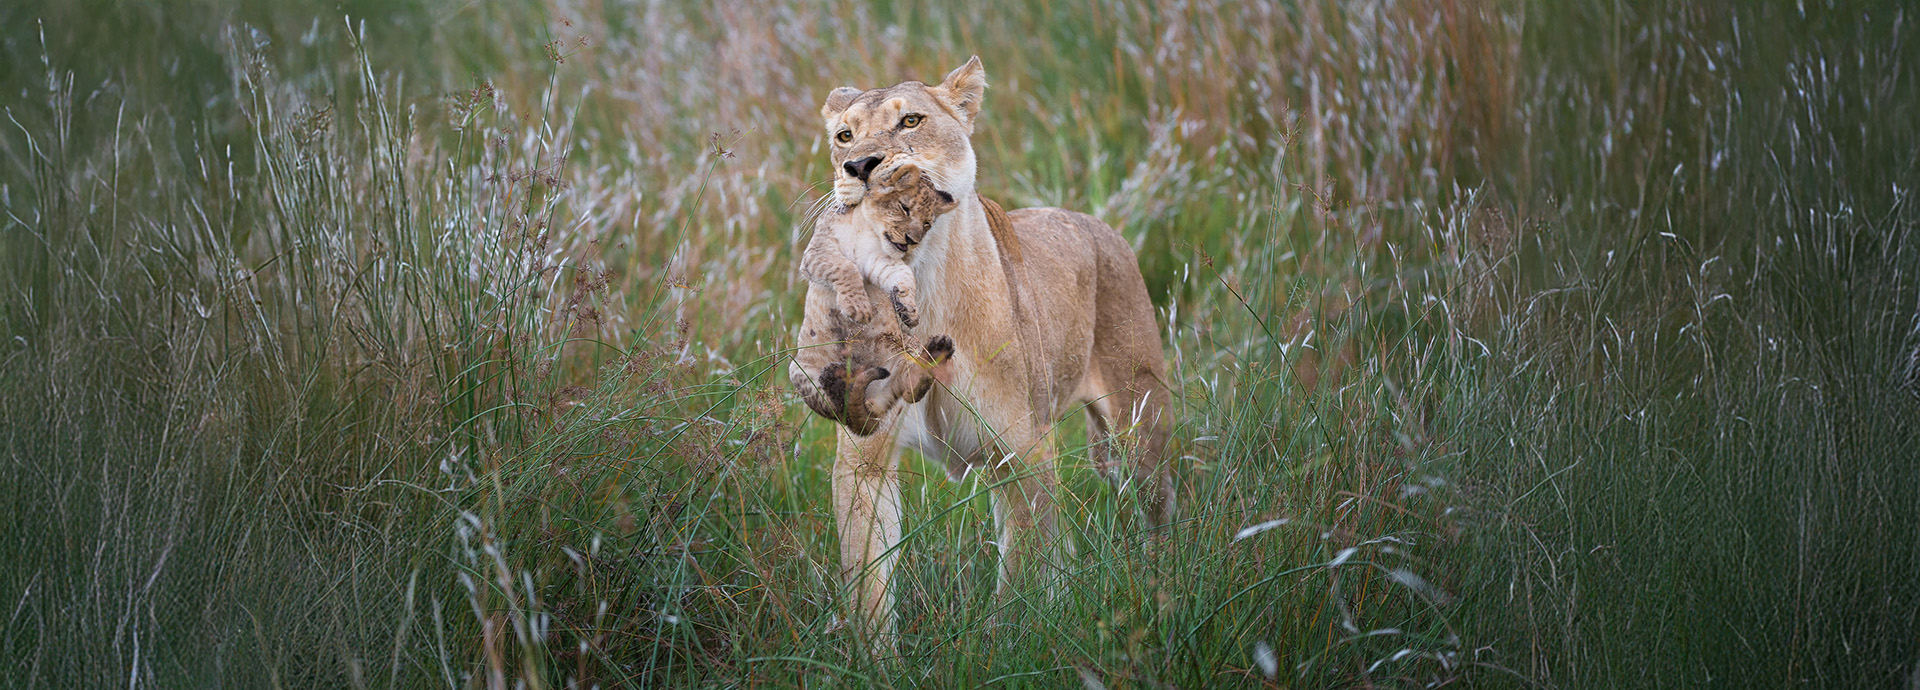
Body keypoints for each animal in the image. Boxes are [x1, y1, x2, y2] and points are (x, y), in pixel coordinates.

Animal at [796, 56, 1176, 652]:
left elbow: (1022, 573)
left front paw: (1006, 647)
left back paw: (1164, 590)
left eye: (910, 121)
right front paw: (877, 660)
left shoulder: (1023, 452)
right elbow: (868, 584)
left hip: (1140, 427)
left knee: (1156, 514)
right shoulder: (863, 463)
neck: (923, 284)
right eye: (844, 136)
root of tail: (1097, 224)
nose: (859, 166)